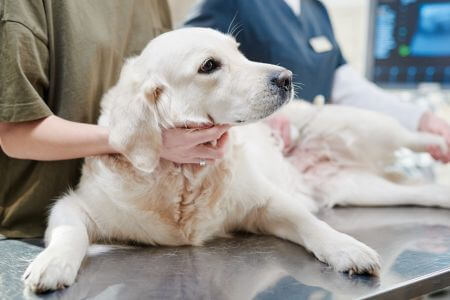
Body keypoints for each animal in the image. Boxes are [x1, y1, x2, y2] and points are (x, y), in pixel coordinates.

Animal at [24, 28, 450, 292]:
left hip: (368, 126)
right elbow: (70, 232)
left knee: (413, 135)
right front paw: (53, 264)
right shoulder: (74, 205)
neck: (183, 176)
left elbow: (311, 224)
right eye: (209, 65)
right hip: (362, 187)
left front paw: (347, 248)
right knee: (422, 190)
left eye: (239, 51)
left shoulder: (267, 202)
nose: (286, 77)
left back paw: (437, 137)